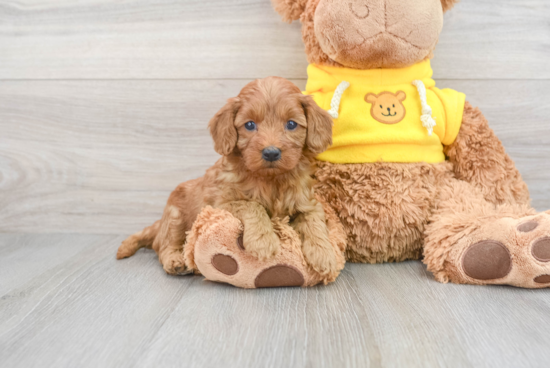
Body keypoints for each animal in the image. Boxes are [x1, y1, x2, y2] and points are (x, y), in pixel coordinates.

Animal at [117, 77, 340, 276]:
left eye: (291, 124)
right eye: (249, 125)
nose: (271, 153)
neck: (270, 180)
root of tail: (160, 222)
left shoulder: (307, 203)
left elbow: (314, 221)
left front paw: (325, 255)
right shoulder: (222, 204)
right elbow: (253, 205)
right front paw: (263, 241)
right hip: (175, 216)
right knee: (163, 245)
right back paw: (175, 261)